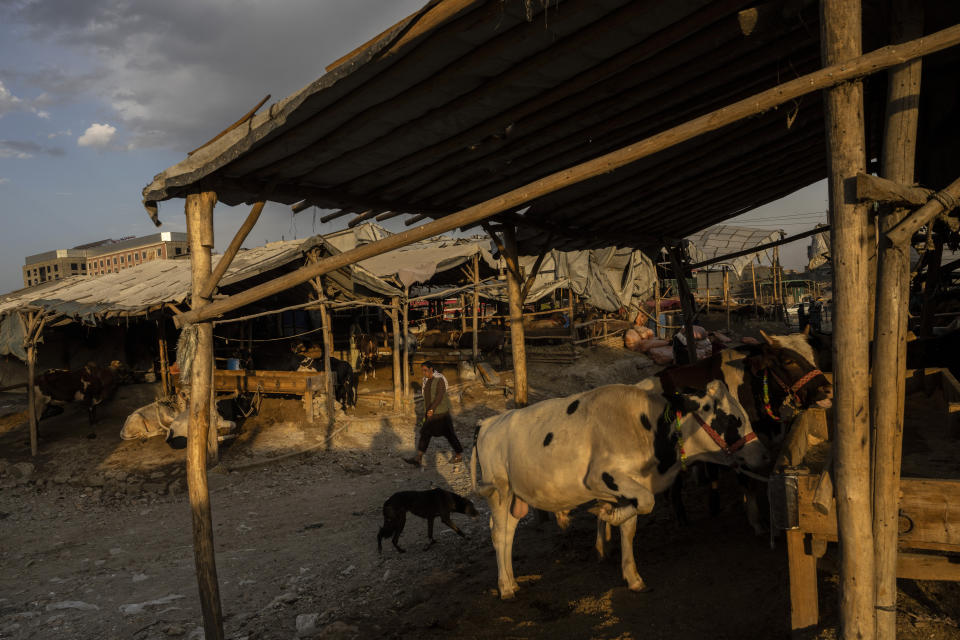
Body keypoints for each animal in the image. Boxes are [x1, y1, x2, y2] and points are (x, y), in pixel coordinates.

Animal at [468, 378, 768, 596]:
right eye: (731, 420)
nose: (764, 456)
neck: (648, 428)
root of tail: (486, 423)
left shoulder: (632, 485)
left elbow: (630, 526)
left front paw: (632, 575)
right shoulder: (600, 477)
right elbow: (646, 503)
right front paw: (605, 514)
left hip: (514, 498)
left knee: (508, 534)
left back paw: (512, 581)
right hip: (499, 493)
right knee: (500, 535)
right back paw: (506, 588)